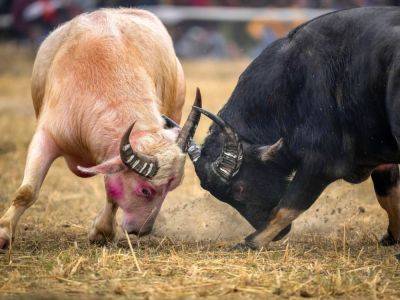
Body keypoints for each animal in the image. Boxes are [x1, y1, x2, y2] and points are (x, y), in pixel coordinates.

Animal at [180, 7, 400, 250]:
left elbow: (287, 206)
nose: (280, 235)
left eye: (240, 189)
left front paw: (250, 242)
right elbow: (388, 194)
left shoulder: (322, 163)